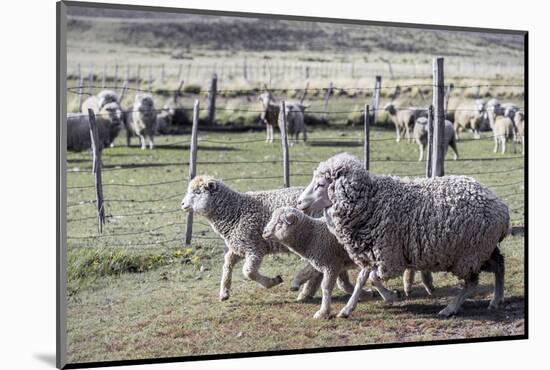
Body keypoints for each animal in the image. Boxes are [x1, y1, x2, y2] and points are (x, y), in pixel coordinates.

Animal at [179, 178, 356, 302]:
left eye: (197, 192)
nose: (182, 204)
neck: (235, 212)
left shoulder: (254, 247)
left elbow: (248, 272)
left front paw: (272, 281)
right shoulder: (239, 247)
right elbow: (228, 263)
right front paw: (224, 293)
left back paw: (307, 291)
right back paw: (341, 287)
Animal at [300, 153, 512, 318]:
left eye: (320, 184)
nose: (300, 202)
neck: (371, 203)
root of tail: (502, 208)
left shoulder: (390, 257)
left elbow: (373, 278)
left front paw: (392, 296)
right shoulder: (372, 253)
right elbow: (362, 280)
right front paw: (347, 309)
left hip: (469, 254)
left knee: (472, 283)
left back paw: (450, 309)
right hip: (483, 250)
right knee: (499, 265)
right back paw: (496, 300)